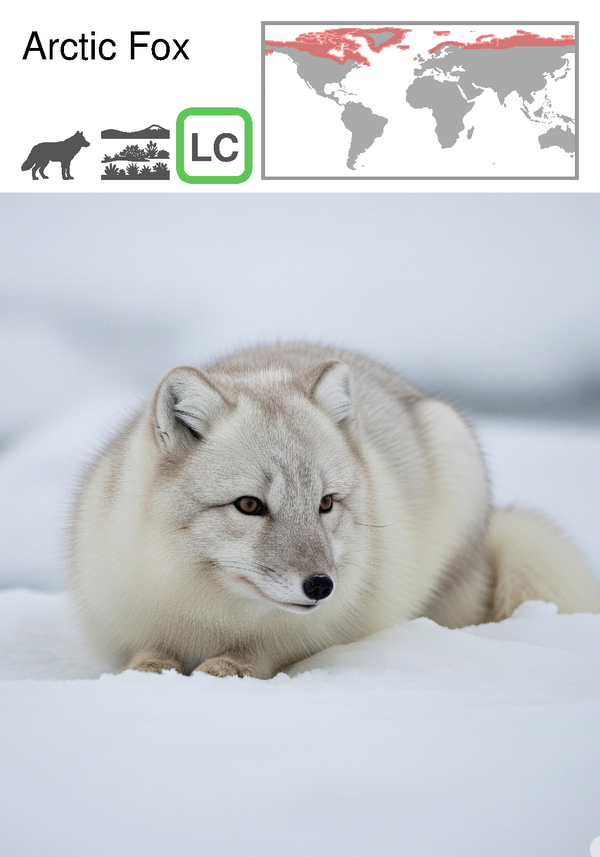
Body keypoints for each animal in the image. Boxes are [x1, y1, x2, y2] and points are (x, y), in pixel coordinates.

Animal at [69, 344, 600, 679]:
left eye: (325, 503)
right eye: (249, 505)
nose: (322, 586)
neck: (206, 615)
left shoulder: (312, 631)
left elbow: (260, 652)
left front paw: (226, 668)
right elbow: (146, 652)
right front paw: (148, 671)